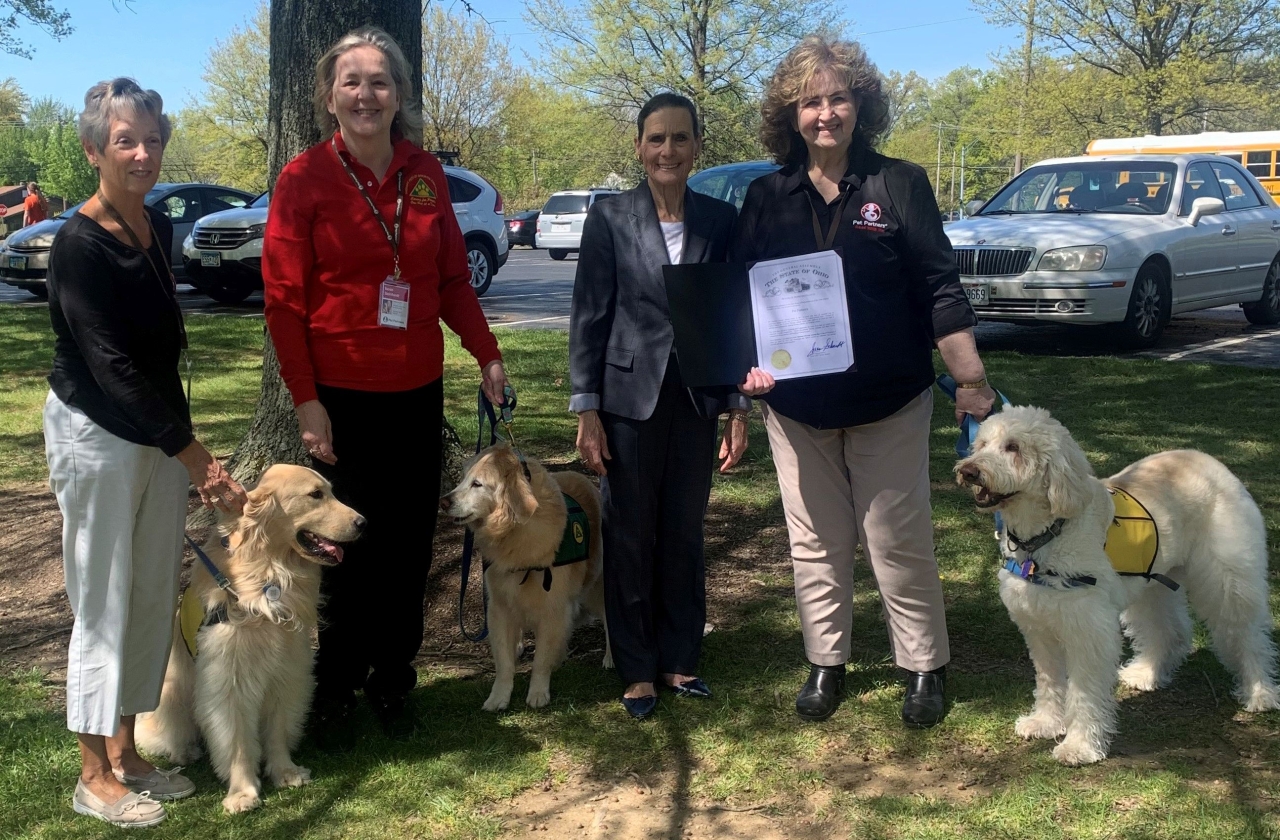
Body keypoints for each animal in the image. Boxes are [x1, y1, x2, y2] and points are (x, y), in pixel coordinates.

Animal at [135, 463, 363, 809]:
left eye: (332, 491)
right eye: (315, 495)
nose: (363, 523)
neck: (271, 572)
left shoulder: (288, 670)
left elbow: (278, 727)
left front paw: (285, 772)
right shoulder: (230, 681)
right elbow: (237, 739)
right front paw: (242, 792)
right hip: (173, 692)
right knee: (169, 732)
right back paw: (184, 751)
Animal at [437, 443, 611, 711]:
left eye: (477, 484)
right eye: (464, 479)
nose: (443, 501)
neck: (513, 530)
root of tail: (582, 476)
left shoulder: (552, 608)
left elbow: (541, 659)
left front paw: (538, 692)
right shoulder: (499, 606)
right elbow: (504, 662)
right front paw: (498, 697)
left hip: (595, 588)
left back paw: (610, 657)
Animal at [957, 404, 1274, 763]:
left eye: (1013, 447)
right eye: (982, 444)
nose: (968, 471)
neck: (1046, 534)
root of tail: (1210, 461)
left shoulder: (1088, 630)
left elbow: (1084, 692)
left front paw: (1079, 745)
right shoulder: (1038, 628)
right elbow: (1049, 681)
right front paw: (1045, 722)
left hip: (1229, 580)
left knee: (1248, 635)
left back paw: (1260, 692)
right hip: (1152, 585)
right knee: (1169, 630)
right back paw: (1146, 674)